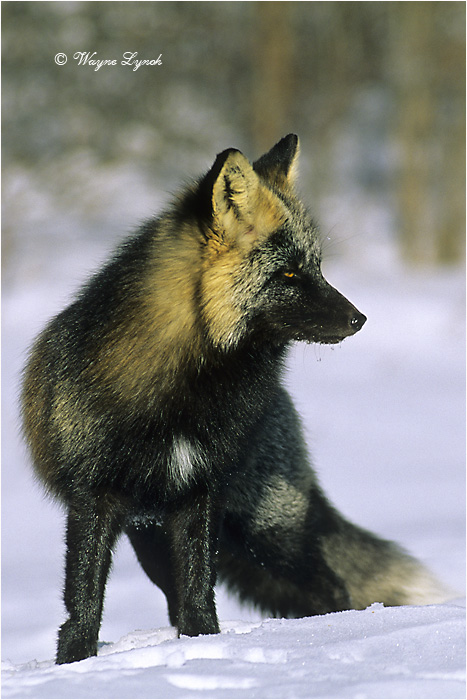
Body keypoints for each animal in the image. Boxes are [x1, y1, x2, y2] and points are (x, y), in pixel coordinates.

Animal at [21, 134, 448, 665]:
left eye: (317, 267)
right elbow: (85, 600)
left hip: (264, 533)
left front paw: (204, 649)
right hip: (156, 540)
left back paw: (333, 636)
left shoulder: (200, 493)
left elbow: (199, 596)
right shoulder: (94, 498)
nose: (359, 319)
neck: (182, 393)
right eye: (288, 275)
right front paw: (77, 665)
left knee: (330, 586)